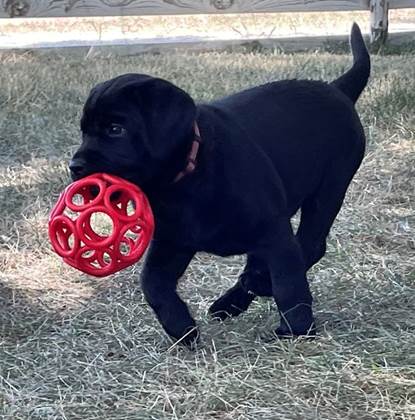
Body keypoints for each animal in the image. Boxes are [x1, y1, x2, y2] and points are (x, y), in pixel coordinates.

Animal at [70, 23, 370, 344]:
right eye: (84, 131)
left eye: (116, 129)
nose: (75, 167)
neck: (185, 178)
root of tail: (336, 88)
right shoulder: (173, 241)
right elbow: (152, 283)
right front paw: (181, 328)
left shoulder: (273, 232)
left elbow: (288, 282)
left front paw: (297, 329)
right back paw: (232, 301)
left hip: (329, 190)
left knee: (310, 245)